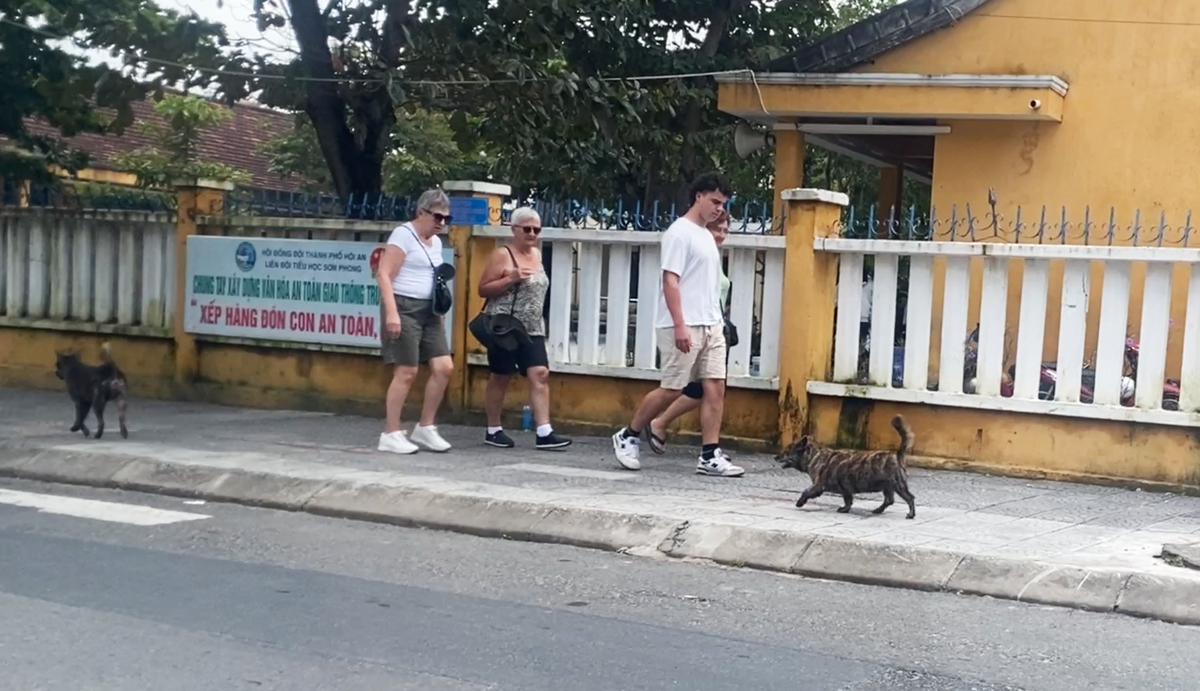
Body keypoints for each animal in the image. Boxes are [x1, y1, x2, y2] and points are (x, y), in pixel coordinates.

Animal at [772, 415, 912, 518]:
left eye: (786, 452)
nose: (775, 457)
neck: (814, 456)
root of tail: (897, 454)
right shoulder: (845, 489)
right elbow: (848, 500)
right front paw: (845, 509)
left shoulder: (818, 486)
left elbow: (806, 492)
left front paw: (800, 502)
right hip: (887, 486)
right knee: (889, 500)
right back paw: (878, 510)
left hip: (898, 484)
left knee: (909, 498)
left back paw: (911, 514)